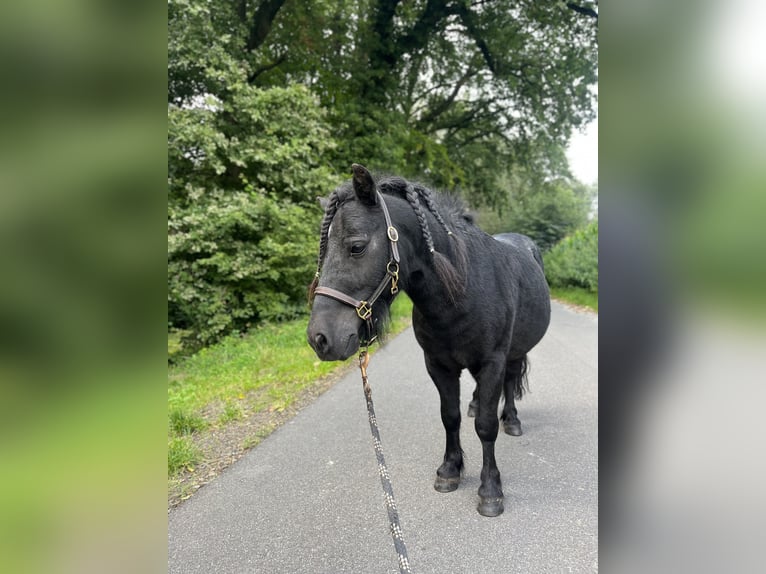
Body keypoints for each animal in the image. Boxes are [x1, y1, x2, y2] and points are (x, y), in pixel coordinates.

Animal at [306, 165, 552, 516]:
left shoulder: (492, 362)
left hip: (514, 352)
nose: (320, 338)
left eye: (356, 246)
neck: (462, 290)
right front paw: (450, 470)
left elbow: (486, 426)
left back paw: (513, 420)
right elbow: (450, 417)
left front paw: (490, 489)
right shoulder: (438, 366)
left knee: (510, 381)